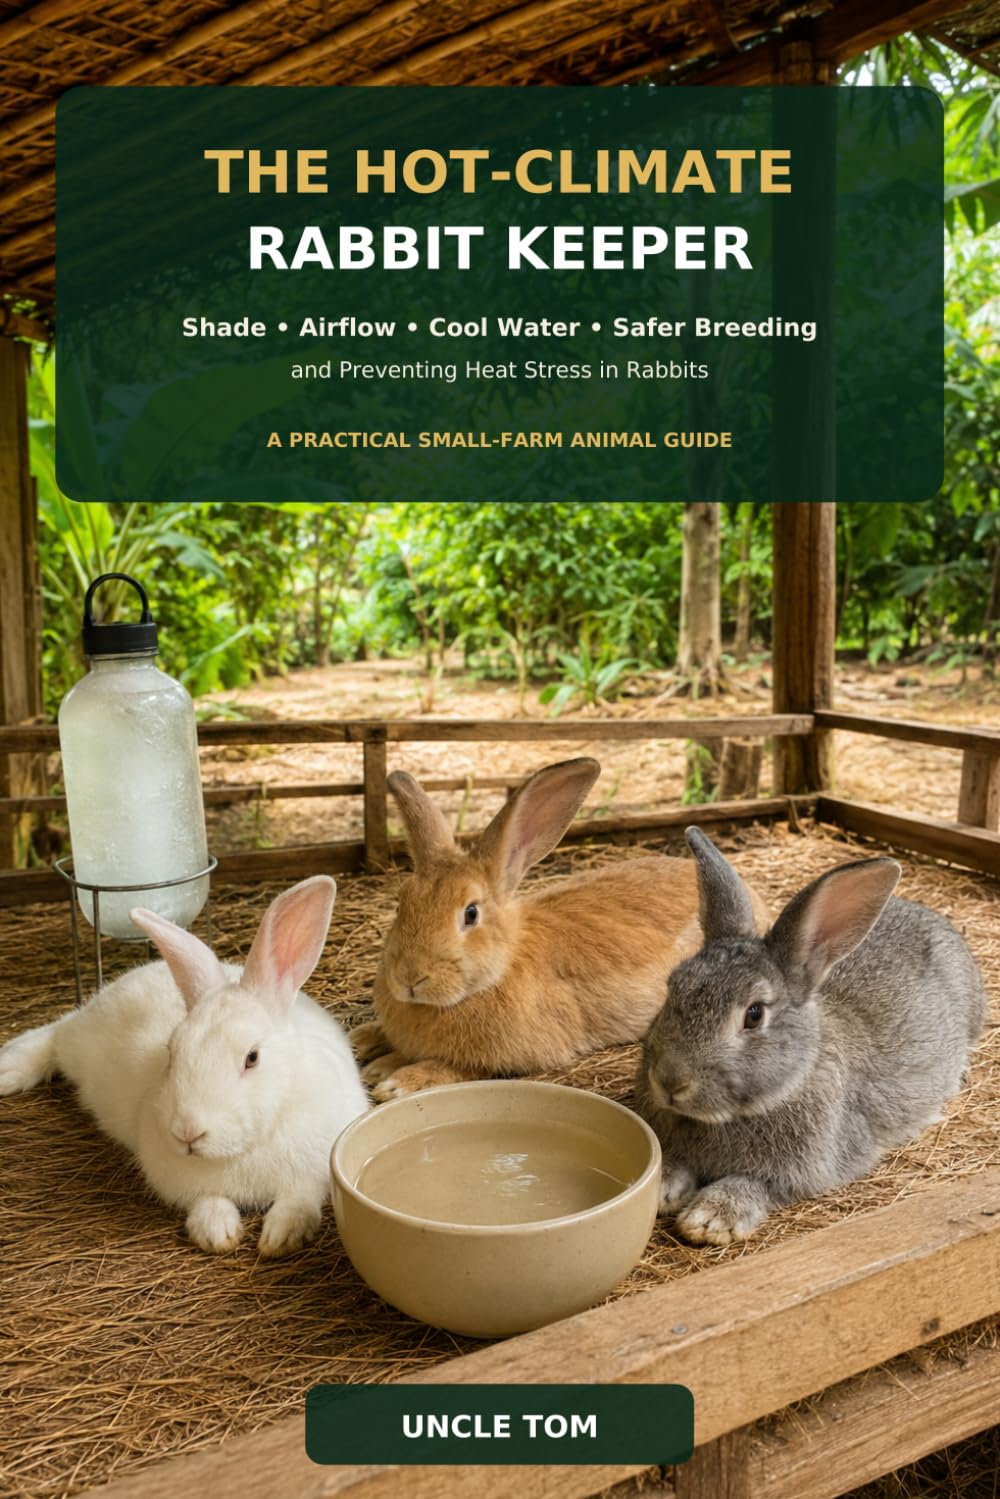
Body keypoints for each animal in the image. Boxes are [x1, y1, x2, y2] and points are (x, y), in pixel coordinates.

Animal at [0, 875, 368, 1256]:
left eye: (252, 1057)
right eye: (172, 1052)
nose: (188, 1132)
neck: (242, 1150)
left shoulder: (314, 1174)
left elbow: (300, 1200)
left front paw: (280, 1237)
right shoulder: (182, 1184)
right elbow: (206, 1202)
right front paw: (217, 1233)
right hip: (79, 1041)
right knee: (56, 1033)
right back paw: (8, 1071)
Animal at [350, 757, 770, 1102]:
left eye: (470, 914)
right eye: (401, 903)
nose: (409, 978)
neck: (495, 974)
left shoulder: (513, 1056)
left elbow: (460, 1067)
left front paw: (395, 1080)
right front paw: (363, 1043)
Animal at [635, 827, 988, 1247]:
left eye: (754, 1015)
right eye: (673, 987)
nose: (669, 1080)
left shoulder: (810, 1169)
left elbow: (757, 1184)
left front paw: (710, 1217)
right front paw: (662, 1185)